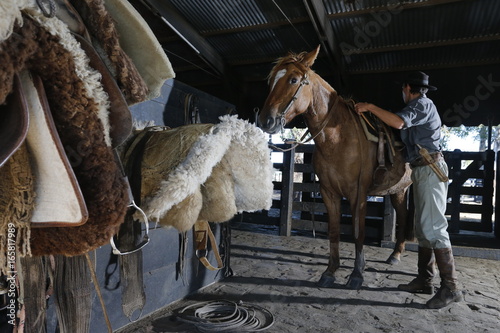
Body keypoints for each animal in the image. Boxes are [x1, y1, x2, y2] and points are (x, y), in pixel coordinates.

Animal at [256, 45, 412, 290]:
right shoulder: (329, 193)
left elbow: (358, 232)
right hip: (396, 191)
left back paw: (398, 256)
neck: (338, 138)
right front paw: (330, 271)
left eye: (293, 79)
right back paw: (395, 254)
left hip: (403, 190)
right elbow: (334, 231)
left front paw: (357, 274)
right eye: (271, 81)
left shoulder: (358, 194)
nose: (266, 121)